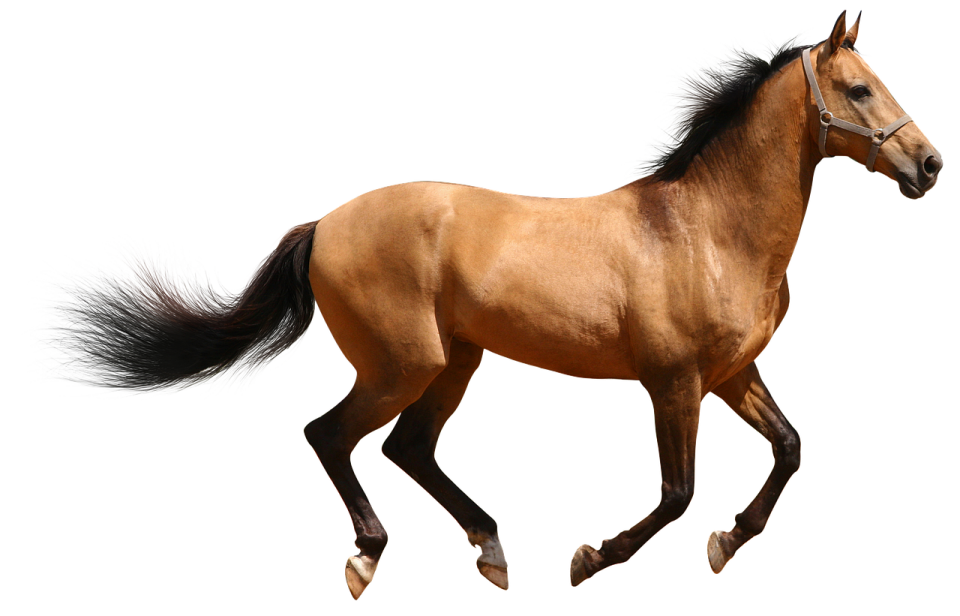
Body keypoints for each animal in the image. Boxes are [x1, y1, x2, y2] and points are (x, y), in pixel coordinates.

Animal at [13, 9, 942, 599]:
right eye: (859, 89)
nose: (930, 166)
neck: (708, 229)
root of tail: (324, 222)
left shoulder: (732, 374)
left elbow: (788, 449)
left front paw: (724, 545)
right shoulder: (673, 381)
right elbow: (678, 493)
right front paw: (588, 560)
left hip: (457, 361)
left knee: (408, 449)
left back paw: (491, 551)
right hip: (406, 361)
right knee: (333, 435)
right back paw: (368, 560)